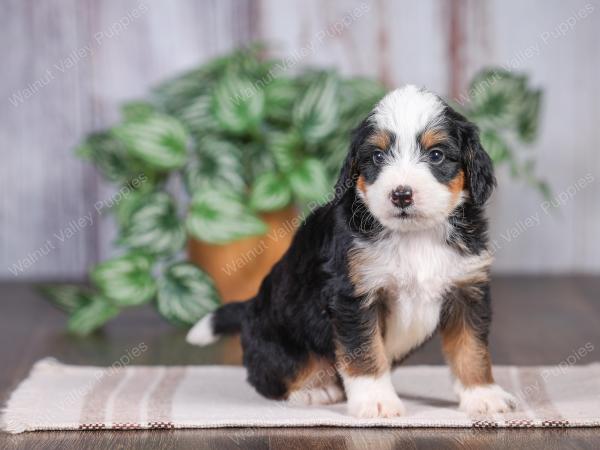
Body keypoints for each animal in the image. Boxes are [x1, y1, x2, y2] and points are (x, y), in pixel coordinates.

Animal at [186, 85, 516, 418]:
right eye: (378, 156)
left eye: (436, 155)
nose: (401, 195)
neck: (415, 236)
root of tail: (250, 307)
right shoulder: (354, 296)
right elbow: (365, 352)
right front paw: (376, 400)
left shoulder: (466, 290)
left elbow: (470, 348)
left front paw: (482, 394)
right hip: (279, 342)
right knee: (271, 376)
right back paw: (312, 391)